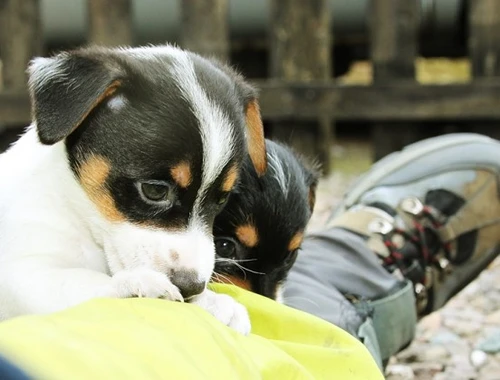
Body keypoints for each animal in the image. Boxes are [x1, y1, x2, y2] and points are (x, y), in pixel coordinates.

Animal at [0, 45, 268, 336]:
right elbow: (80, 279)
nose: (191, 287)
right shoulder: (21, 276)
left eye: (222, 198)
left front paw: (213, 301)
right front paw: (137, 283)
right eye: (154, 191)